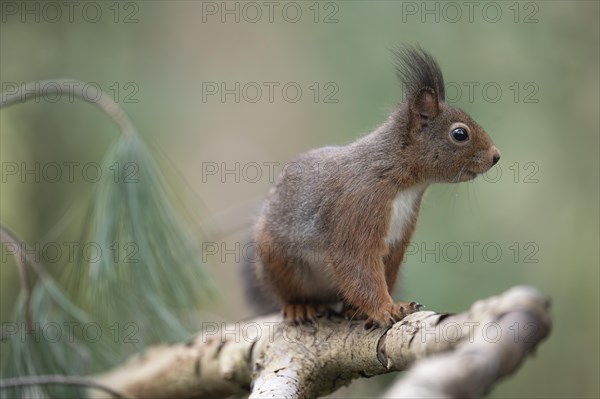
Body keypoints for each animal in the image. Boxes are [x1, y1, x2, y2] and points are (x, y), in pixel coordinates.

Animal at [245, 46, 502, 328]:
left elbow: (384, 272)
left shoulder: (397, 239)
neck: (402, 181)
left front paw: (378, 308)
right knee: (288, 292)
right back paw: (299, 306)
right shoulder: (357, 210)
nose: (496, 156)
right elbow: (358, 265)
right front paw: (388, 309)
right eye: (460, 134)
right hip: (278, 261)